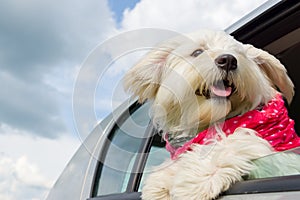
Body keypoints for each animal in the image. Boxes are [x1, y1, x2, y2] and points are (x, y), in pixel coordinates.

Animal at [122, 30, 300, 200]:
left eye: (239, 54)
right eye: (197, 52)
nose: (228, 60)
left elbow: (228, 142)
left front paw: (196, 183)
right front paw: (160, 183)